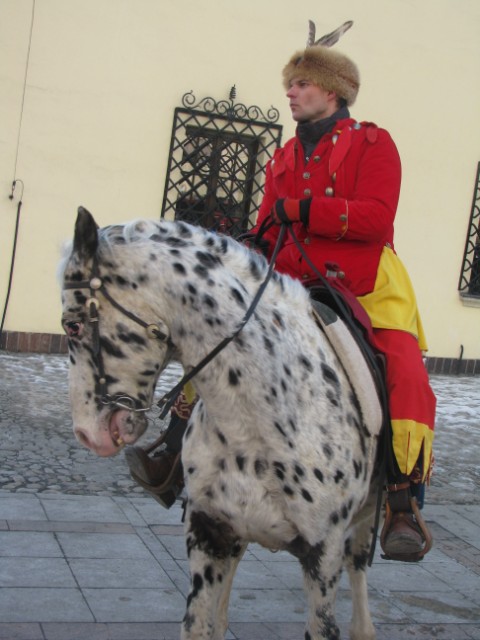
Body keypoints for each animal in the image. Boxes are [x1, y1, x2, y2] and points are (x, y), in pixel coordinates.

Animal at [60, 207, 383, 640]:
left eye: (73, 325)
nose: (85, 433)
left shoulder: (322, 555)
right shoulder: (208, 530)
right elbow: (198, 623)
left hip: (364, 522)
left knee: (358, 569)